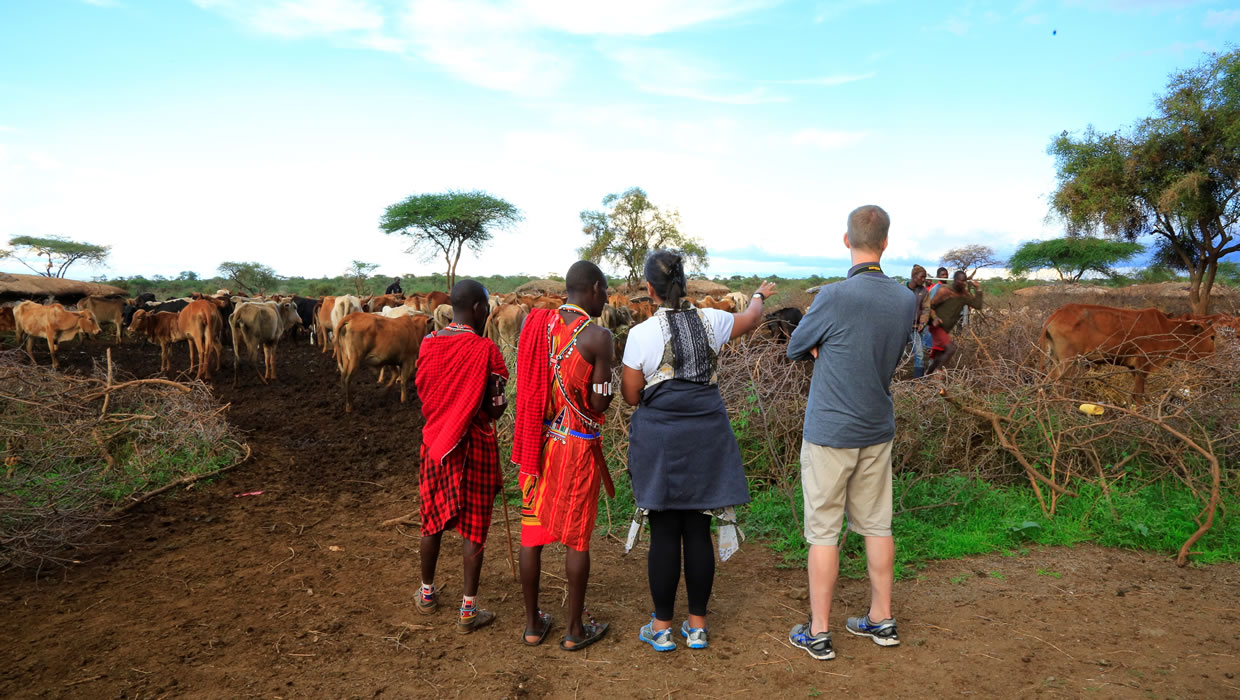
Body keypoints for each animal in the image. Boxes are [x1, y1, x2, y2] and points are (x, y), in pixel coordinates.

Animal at [1041, 304, 1215, 403]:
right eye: (1212, 336)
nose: (1214, 356)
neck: (1166, 329)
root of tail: (1056, 315)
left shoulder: (1134, 369)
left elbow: (1136, 395)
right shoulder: (1143, 365)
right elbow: (1138, 395)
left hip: (1057, 360)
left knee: (1044, 384)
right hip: (1069, 362)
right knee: (1062, 387)